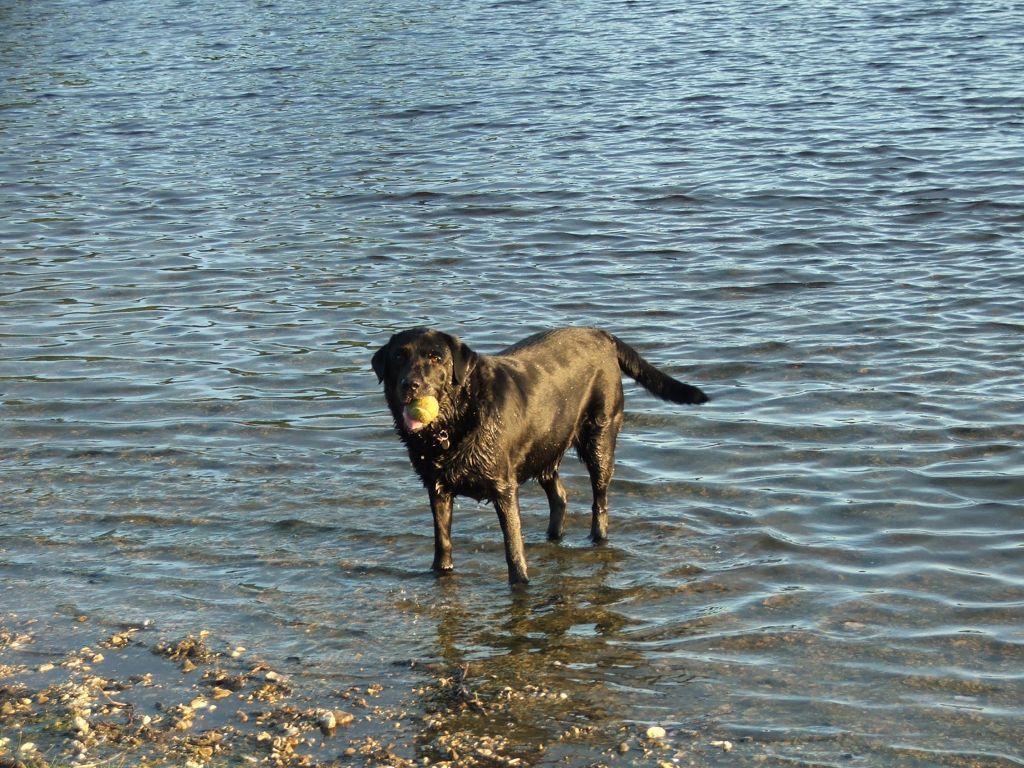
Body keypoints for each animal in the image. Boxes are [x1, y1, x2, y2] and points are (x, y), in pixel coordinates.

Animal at [372, 327, 709, 585]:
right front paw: (441, 573)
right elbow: (442, 541)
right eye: (399, 357)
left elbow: (513, 546)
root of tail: (602, 334)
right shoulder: (437, 488)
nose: (410, 385)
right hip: (547, 446)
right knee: (560, 496)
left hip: (599, 440)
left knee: (600, 502)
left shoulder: (504, 488)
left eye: (435, 358)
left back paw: (596, 539)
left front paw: (521, 583)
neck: (455, 421)